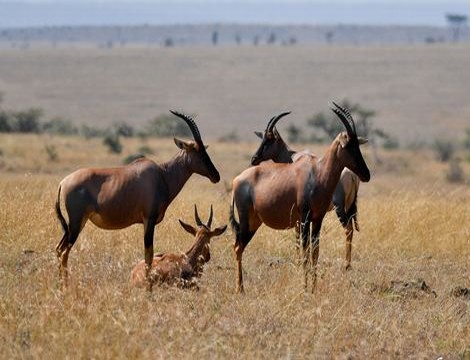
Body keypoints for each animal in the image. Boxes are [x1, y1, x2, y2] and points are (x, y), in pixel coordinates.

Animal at [54, 109, 220, 290]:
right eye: (196, 150)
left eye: (204, 149)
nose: (216, 176)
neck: (162, 174)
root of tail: (63, 182)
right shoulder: (149, 219)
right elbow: (149, 255)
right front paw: (148, 287)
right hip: (76, 223)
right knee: (64, 251)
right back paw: (65, 287)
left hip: (72, 225)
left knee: (59, 249)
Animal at [252, 112, 362, 270]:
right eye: (262, 139)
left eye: (269, 139)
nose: (254, 159)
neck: (294, 157)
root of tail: (352, 175)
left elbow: (299, 236)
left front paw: (300, 262)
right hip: (349, 206)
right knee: (351, 228)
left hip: (339, 207)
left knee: (348, 228)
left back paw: (346, 264)